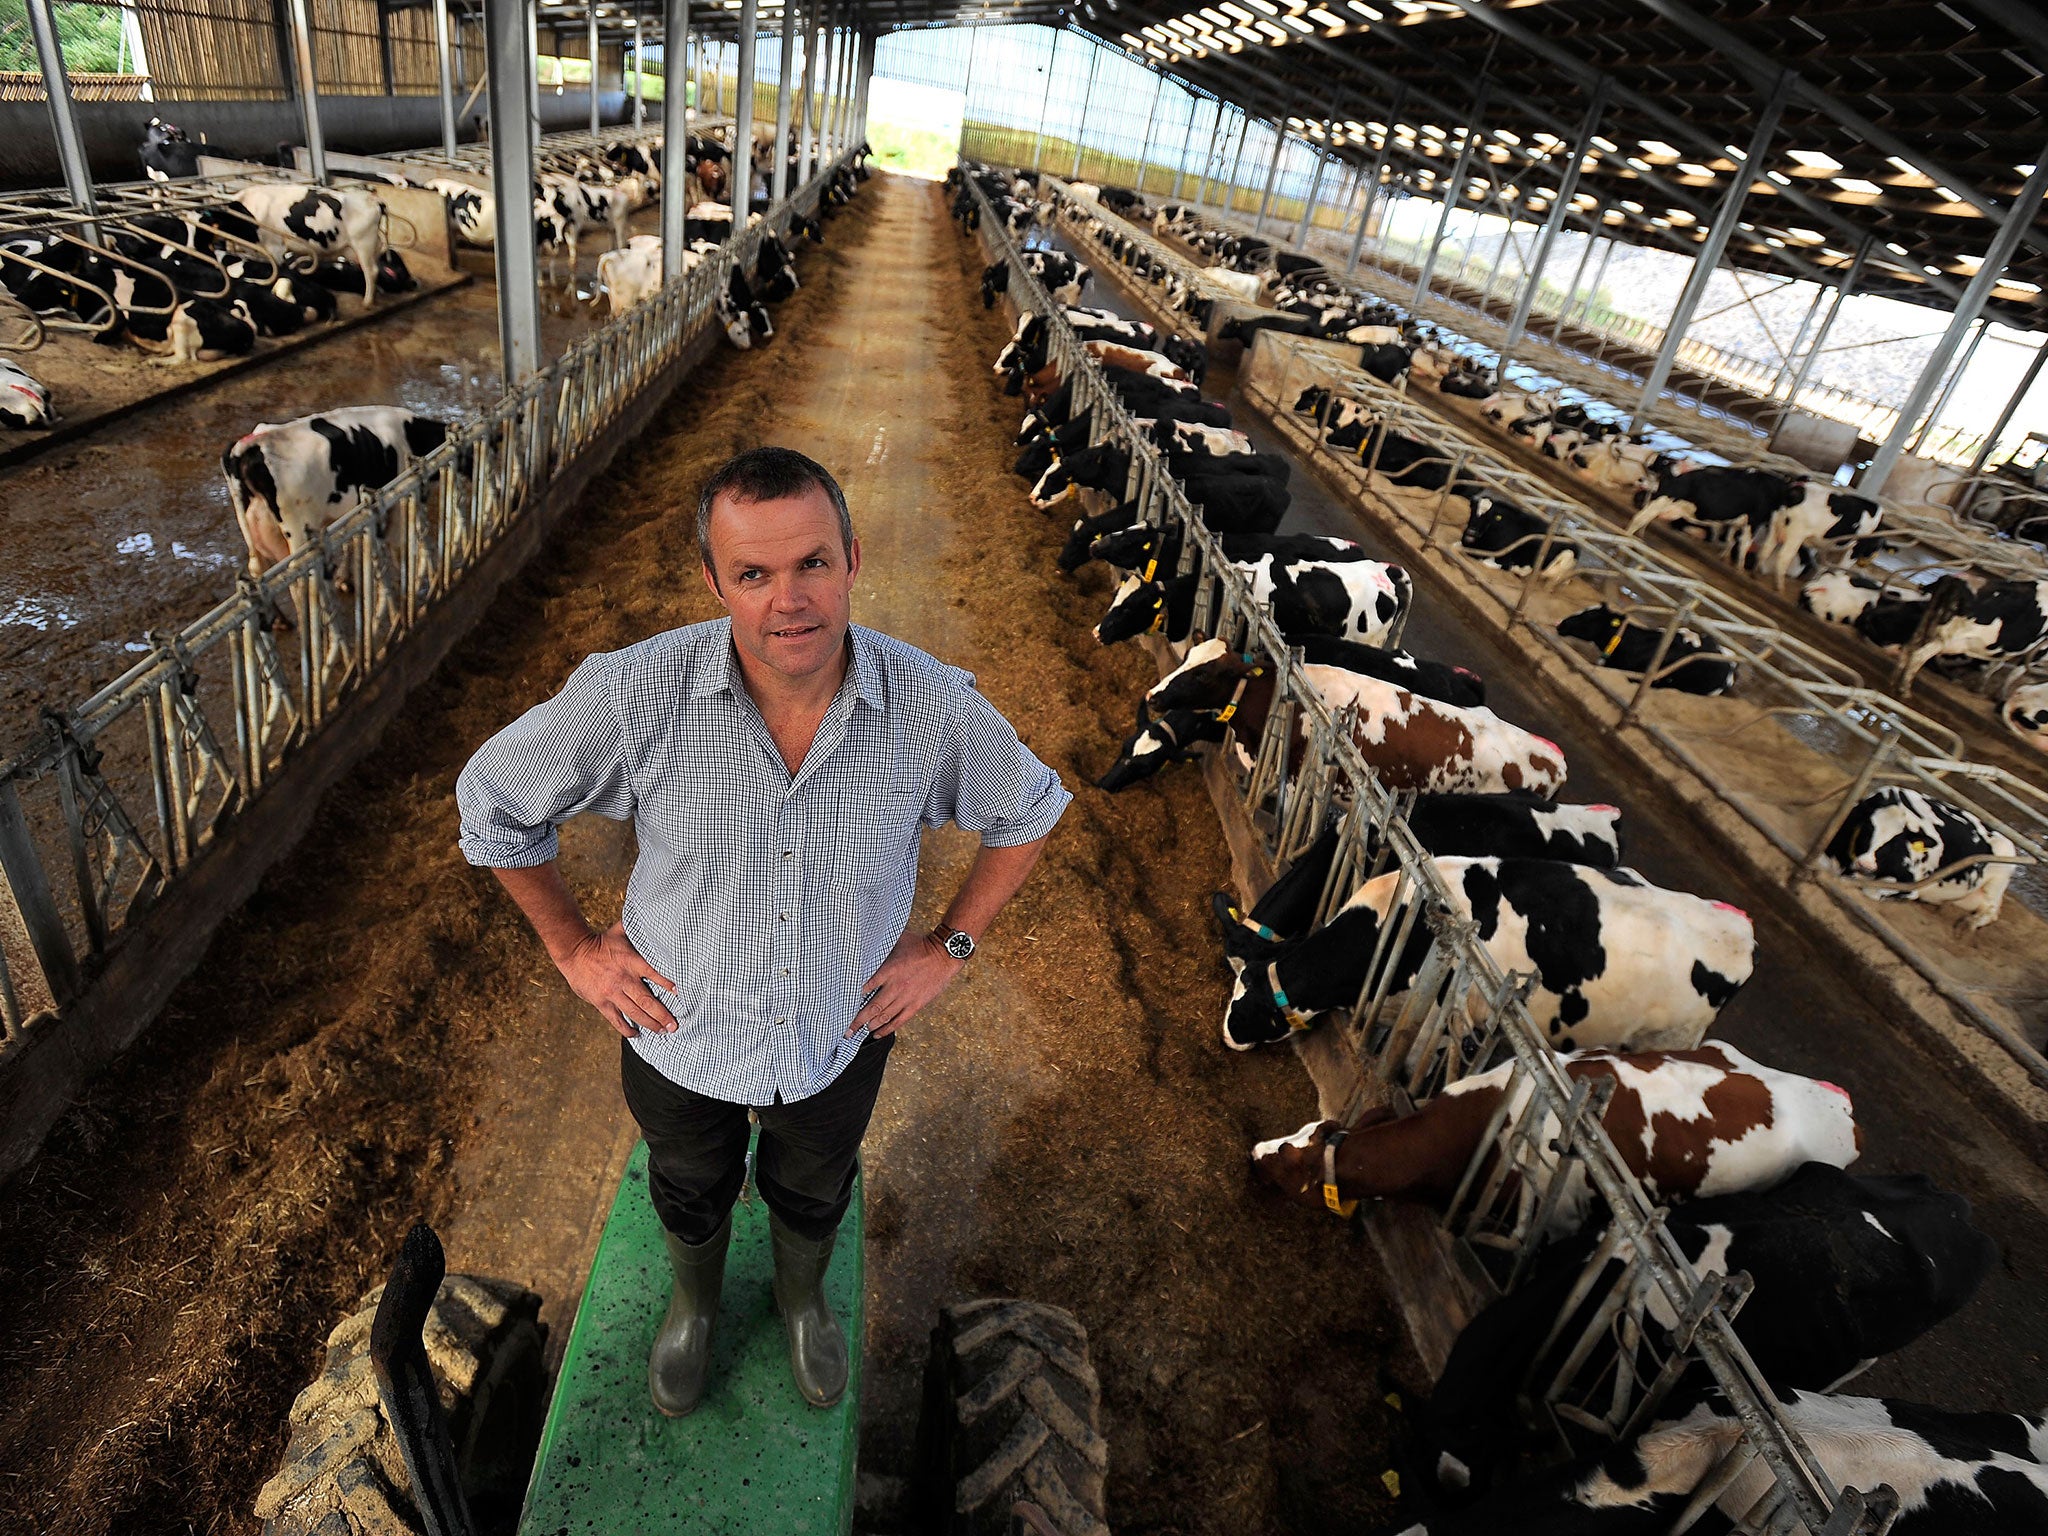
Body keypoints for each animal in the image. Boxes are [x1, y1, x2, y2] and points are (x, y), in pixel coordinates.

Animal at [222, 409, 450, 589]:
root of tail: (250, 446)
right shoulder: (397, 496)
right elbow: (398, 543)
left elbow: (348, 539)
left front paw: (344, 577)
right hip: (297, 531)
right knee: (297, 579)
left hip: (248, 525)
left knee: (256, 567)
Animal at [1826, 786, 2015, 933]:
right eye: (1867, 828)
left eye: (1896, 841)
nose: (1866, 865)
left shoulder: (1908, 882)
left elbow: (1871, 889)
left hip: (1998, 881)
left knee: (1991, 911)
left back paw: (1969, 924)